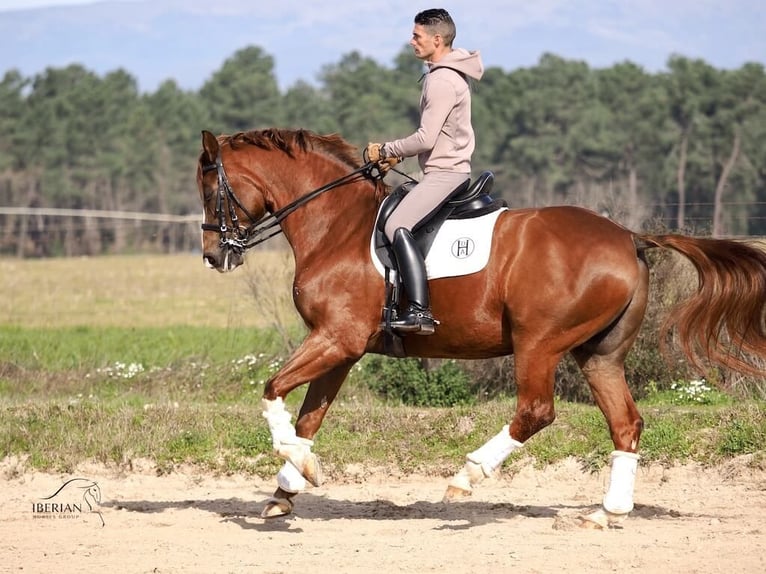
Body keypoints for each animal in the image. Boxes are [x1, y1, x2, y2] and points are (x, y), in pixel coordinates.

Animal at [196, 127, 766, 527]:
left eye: (208, 190)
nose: (212, 256)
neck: (336, 224)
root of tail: (629, 237)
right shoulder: (341, 347)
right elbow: (309, 418)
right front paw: (287, 488)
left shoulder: (337, 338)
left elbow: (272, 389)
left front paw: (297, 472)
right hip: (598, 354)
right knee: (625, 423)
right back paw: (606, 513)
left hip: (538, 343)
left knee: (536, 412)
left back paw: (465, 478)